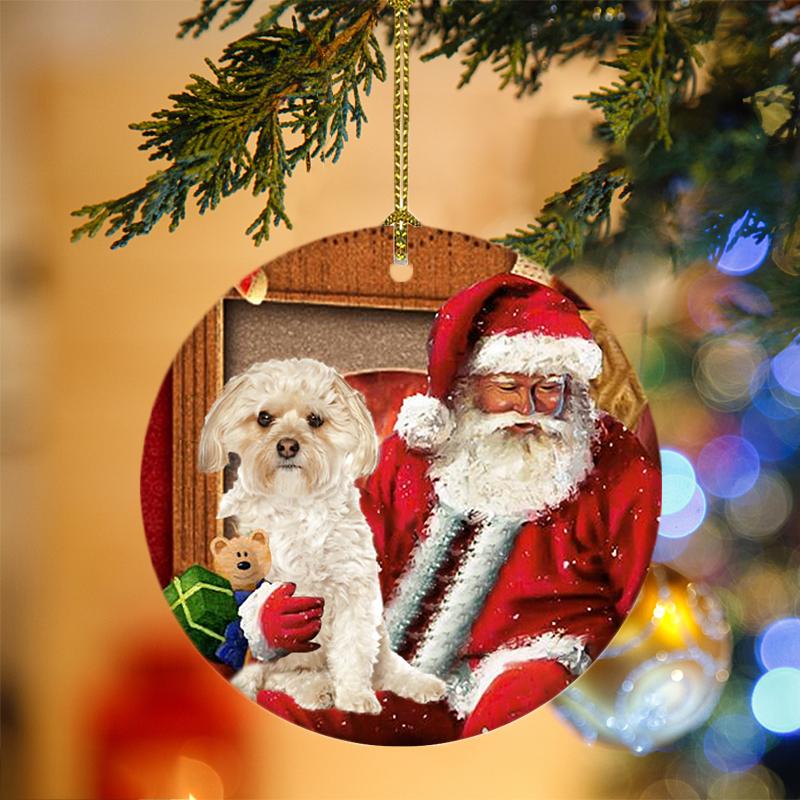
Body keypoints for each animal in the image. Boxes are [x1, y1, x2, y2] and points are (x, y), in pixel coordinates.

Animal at [198, 356, 446, 712]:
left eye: (315, 419)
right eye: (263, 418)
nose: (288, 445)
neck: (296, 505)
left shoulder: (354, 594)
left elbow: (354, 650)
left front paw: (356, 696)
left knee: (385, 666)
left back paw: (417, 683)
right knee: (279, 676)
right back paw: (315, 688)